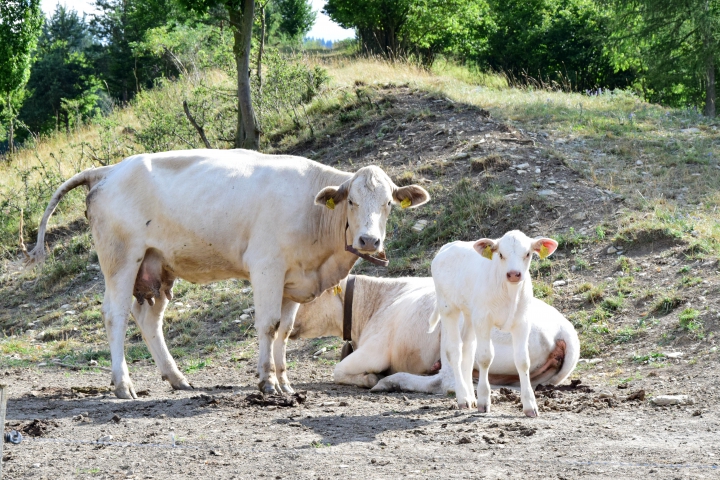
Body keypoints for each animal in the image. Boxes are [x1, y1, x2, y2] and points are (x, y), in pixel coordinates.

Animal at [21, 149, 428, 398]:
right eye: (352, 202)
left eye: (388, 204)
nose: (369, 240)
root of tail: (108, 170)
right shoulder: (266, 267)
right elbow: (268, 325)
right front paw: (267, 382)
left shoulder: (293, 279)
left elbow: (283, 330)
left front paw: (285, 382)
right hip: (121, 260)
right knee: (115, 315)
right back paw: (123, 385)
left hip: (156, 266)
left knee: (147, 318)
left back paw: (177, 378)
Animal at [292, 274, 580, 394]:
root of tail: (564, 328)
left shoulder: (375, 351)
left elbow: (338, 370)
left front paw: (369, 378)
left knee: (445, 383)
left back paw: (391, 381)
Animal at [430, 232, 560, 416]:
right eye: (501, 254)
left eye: (527, 254)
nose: (513, 274)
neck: (509, 293)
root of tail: (448, 246)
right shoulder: (484, 320)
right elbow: (485, 358)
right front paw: (484, 401)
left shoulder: (522, 322)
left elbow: (523, 361)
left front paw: (530, 405)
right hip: (448, 307)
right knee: (454, 350)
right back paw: (463, 398)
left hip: (470, 314)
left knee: (467, 350)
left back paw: (471, 397)